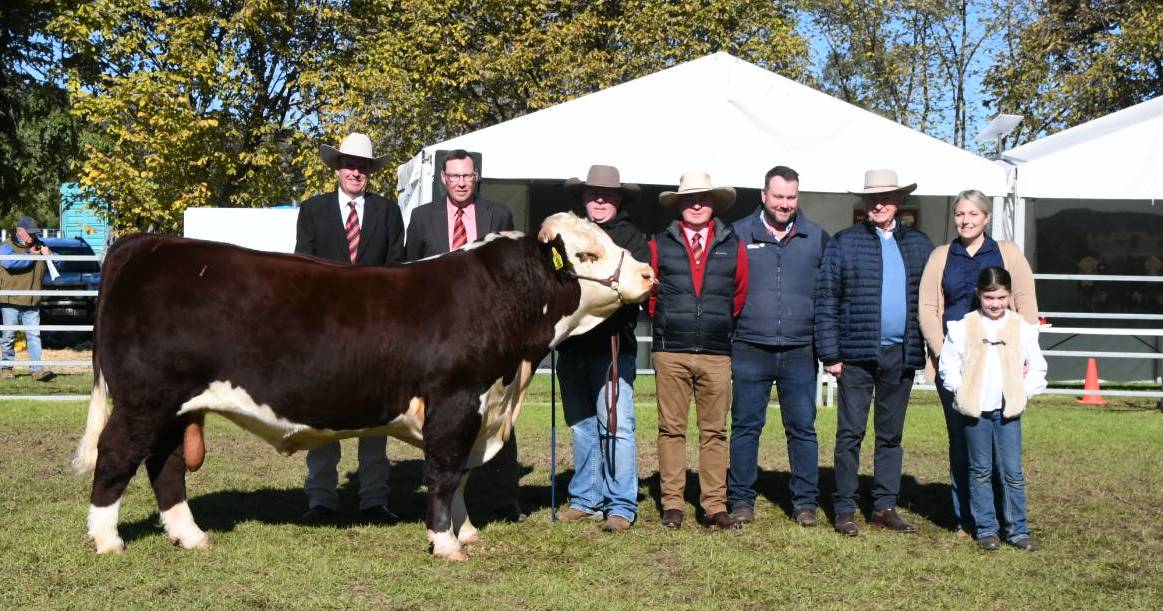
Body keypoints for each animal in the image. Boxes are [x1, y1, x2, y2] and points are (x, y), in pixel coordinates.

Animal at [72, 211, 655, 560]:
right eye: (587, 256)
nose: (648, 275)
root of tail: (147, 244)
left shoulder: (481, 408)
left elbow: (462, 479)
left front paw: (465, 531)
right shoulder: (454, 402)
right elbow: (445, 475)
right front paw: (445, 544)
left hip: (172, 408)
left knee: (165, 465)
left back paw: (190, 536)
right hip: (144, 401)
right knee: (117, 456)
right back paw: (106, 540)